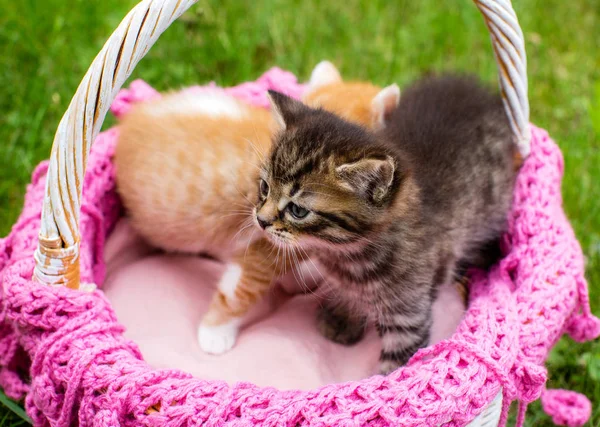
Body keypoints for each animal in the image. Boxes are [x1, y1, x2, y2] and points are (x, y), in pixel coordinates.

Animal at [258, 76, 520, 374]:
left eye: (297, 210)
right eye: (264, 187)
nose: (261, 220)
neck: (347, 255)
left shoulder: (407, 312)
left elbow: (396, 369)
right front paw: (343, 318)